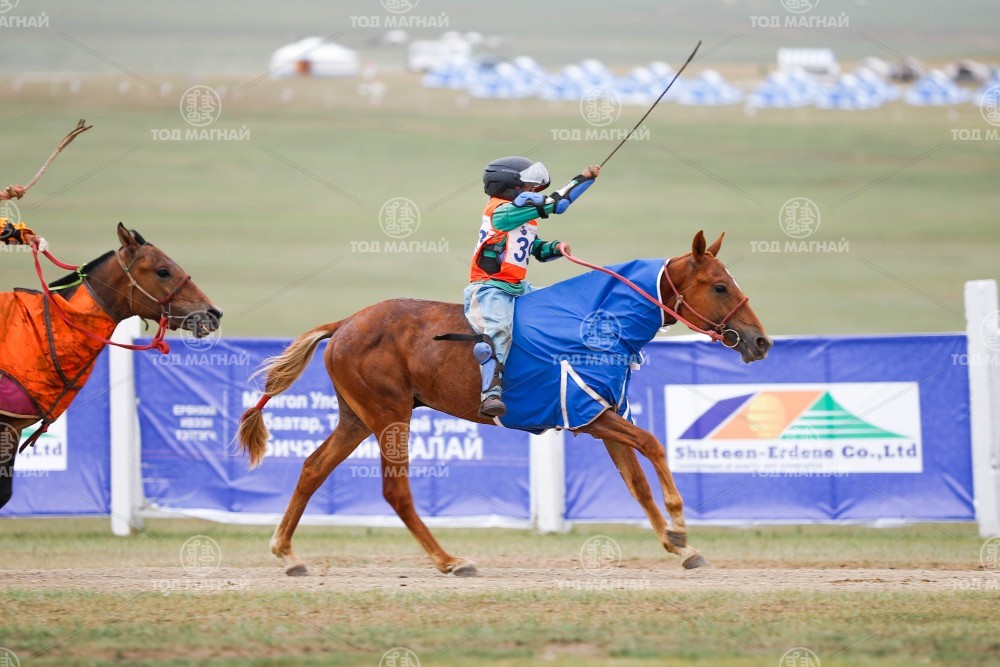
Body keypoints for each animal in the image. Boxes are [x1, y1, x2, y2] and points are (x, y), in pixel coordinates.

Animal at [238, 231, 771, 576]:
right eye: (720, 285)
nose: (760, 341)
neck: (598, 322)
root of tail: (346, 322)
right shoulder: (588, 415)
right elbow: (655, 445)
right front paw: (680, 526)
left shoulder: (604, 412)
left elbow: (637, 482)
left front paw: (678, 546)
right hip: (390, 415)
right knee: (395, 491)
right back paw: (449, 560)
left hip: (357, 417)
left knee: (313, 468)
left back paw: (288, 553)